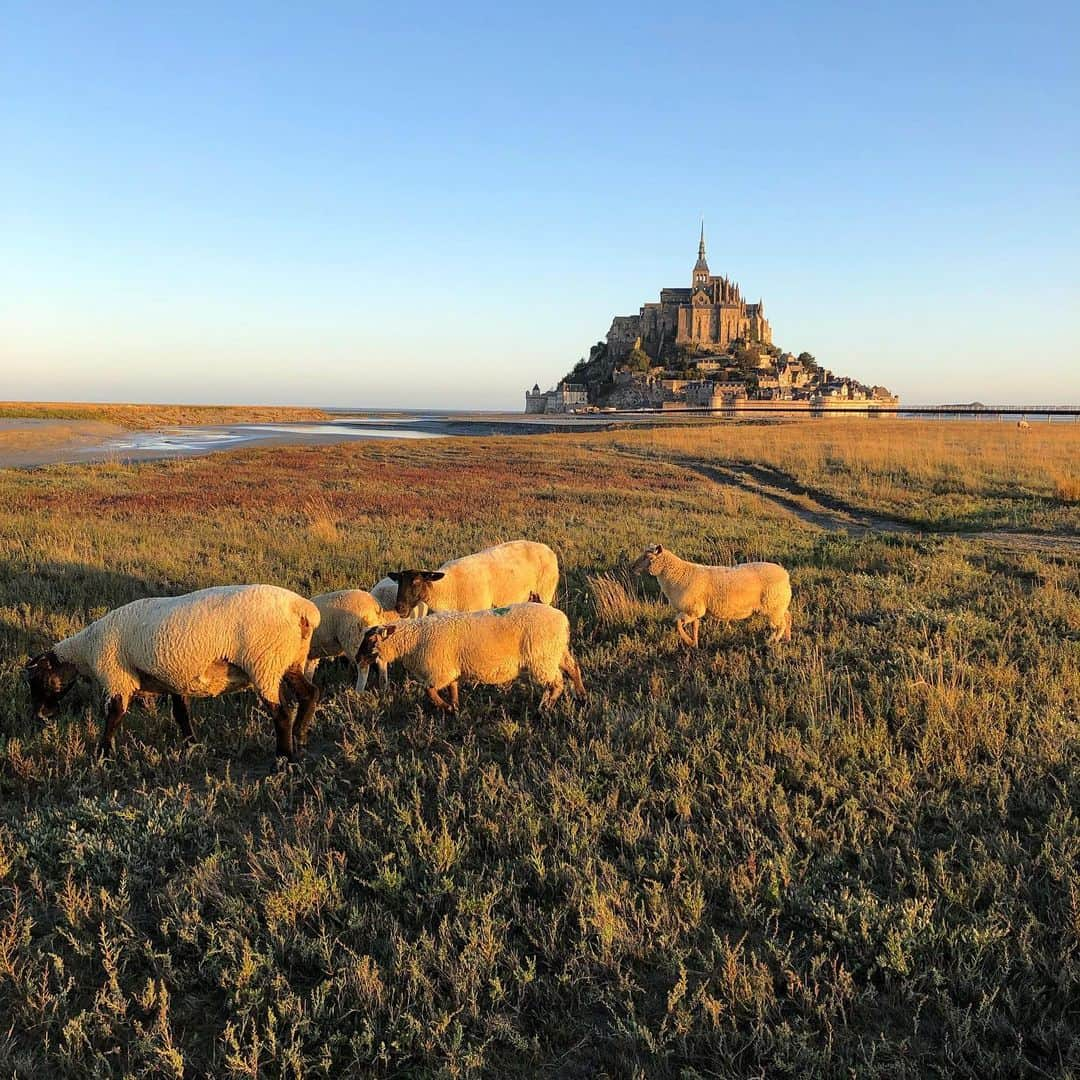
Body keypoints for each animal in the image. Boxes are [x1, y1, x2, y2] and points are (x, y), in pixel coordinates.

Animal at [24, 583, 319, 760]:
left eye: (37, 680)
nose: (39, 715)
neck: (85, 650)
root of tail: (302, 609)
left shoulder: (117, 677)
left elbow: (114, 714)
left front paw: (103, 752)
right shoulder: (177, 679)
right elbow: (181, 713)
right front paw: (191, 743)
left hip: (264, 663)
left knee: (282, 712)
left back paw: (283, 757)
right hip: (290, 660)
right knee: (310, 694)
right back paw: (301, 737)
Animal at [356, 604, 587, 712]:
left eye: (370, 640)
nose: (357, 659)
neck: (414, 639)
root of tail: (562, 619)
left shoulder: (440, 671)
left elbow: (429, 691)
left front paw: (445, 707)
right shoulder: (450, 670)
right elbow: (453, 688)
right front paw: (454, 707)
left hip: (542, 658)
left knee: (557, 683)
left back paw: (544, 708)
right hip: (556, 652)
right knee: (573, 668)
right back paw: (581, 695)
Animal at [380, 537, 561, 617]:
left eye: (417, 582)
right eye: (398, 582)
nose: (399, 608)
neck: (448, 586)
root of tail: (548, 550)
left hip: (545, 593)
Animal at [630, 544, 794, 643]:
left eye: (648, 557)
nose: (632, 567)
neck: (677, 575)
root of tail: (785, 574)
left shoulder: (693, 609)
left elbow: (677, 624)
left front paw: (688, 641)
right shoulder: (693, 611)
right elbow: (694, 626)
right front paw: (695, 643)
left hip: (773, 607)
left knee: (780, 624)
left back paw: (772, 641)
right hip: (779, 606)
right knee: (787, 617)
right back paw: (787, 638)